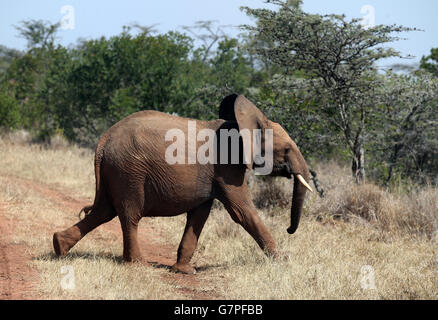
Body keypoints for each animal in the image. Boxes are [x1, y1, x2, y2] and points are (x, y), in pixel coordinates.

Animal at [53, 94, 312, 274]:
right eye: (286, 149)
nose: (289, 229)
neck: (240, 124)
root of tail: (104, 140)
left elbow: (199, 215)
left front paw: (184, 271)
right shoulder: (227, 168)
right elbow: (242, 212)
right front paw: (283, 260)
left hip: (116, 171)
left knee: (103, 211)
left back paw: (58, 246)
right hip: (129, 171)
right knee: (129, 214)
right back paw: (139, 264)